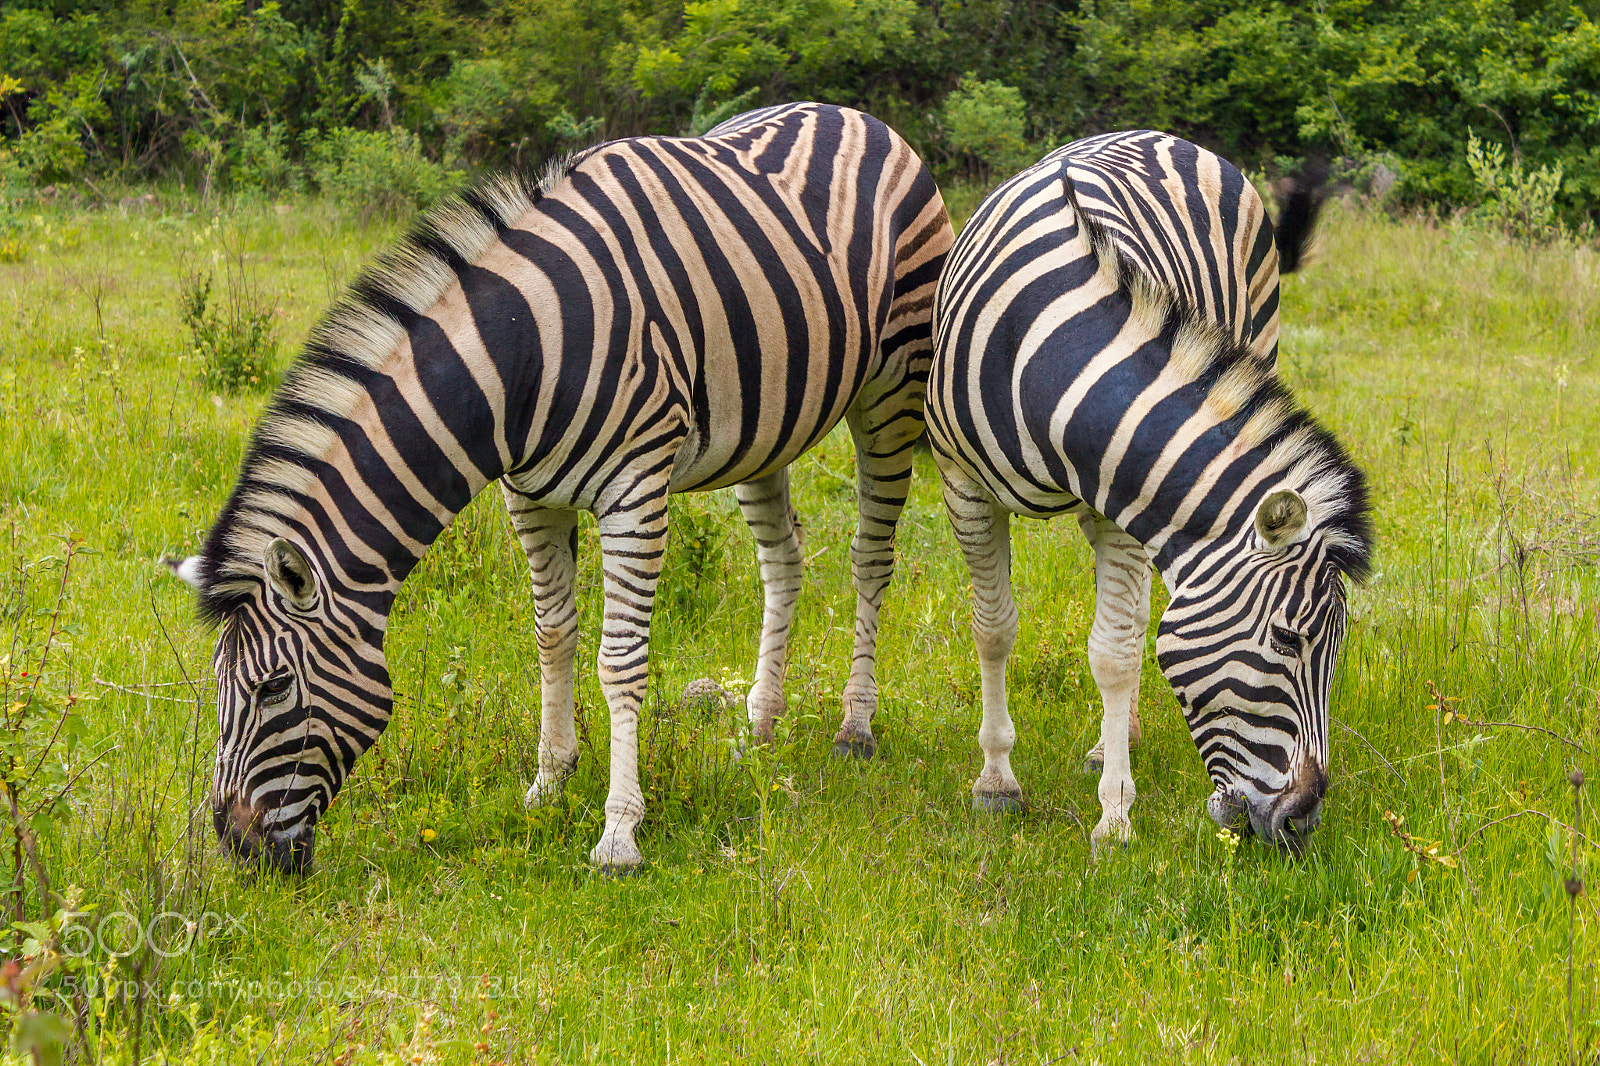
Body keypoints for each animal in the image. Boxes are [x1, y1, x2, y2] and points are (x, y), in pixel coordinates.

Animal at [168, 102, 953, 872]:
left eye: (273, 689)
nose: (235, 847)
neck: (523, 350)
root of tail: (848, 112)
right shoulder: (529, 496)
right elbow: (553, 634)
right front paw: (547, 783)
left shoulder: (636, 488)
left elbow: (620, 660)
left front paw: (619, 833)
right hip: (770, 422)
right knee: (784, 559)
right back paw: (759, 725)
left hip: (893, 388)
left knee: (870, 557)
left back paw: (855, 725)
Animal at [925, 130, 1371, 852]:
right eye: (1287, 639)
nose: (1302, 821)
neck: (1054, 356)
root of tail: (1156, 135)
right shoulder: (964, 486)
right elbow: (993, 630)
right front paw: (996, 782)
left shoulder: (1124, 508)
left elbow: (1114, 649)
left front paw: (1113, 815)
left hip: (1255, 341)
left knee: (1131, 624)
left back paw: (1117, 742)